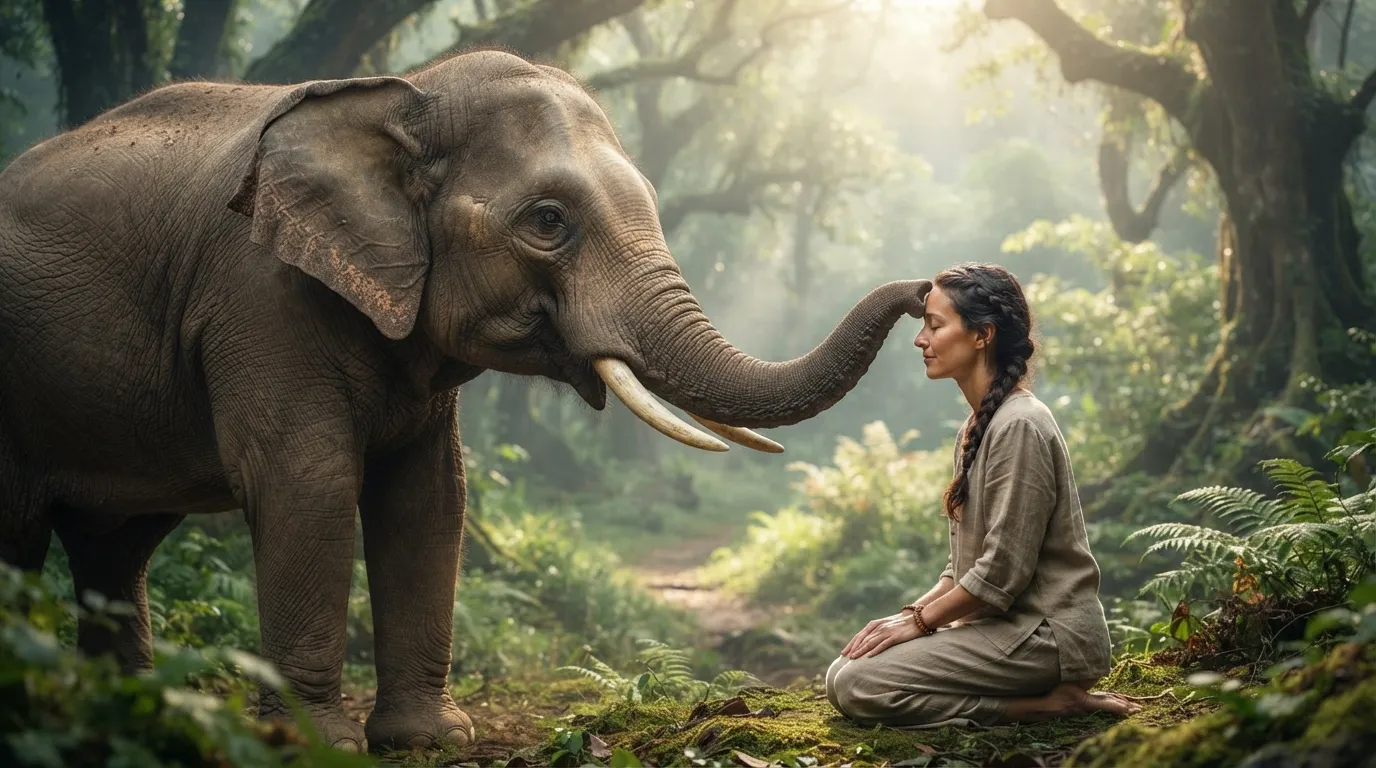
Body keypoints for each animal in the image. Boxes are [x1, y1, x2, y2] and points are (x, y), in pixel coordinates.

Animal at [0, 50, 932, 752]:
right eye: (548, 220)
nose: (928, 289)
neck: (405, 91)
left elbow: (430, 496)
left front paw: (429, 739)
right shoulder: (259, 298)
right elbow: (310, 481)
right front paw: (316, 746)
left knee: (115, 548)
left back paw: (128, 719)